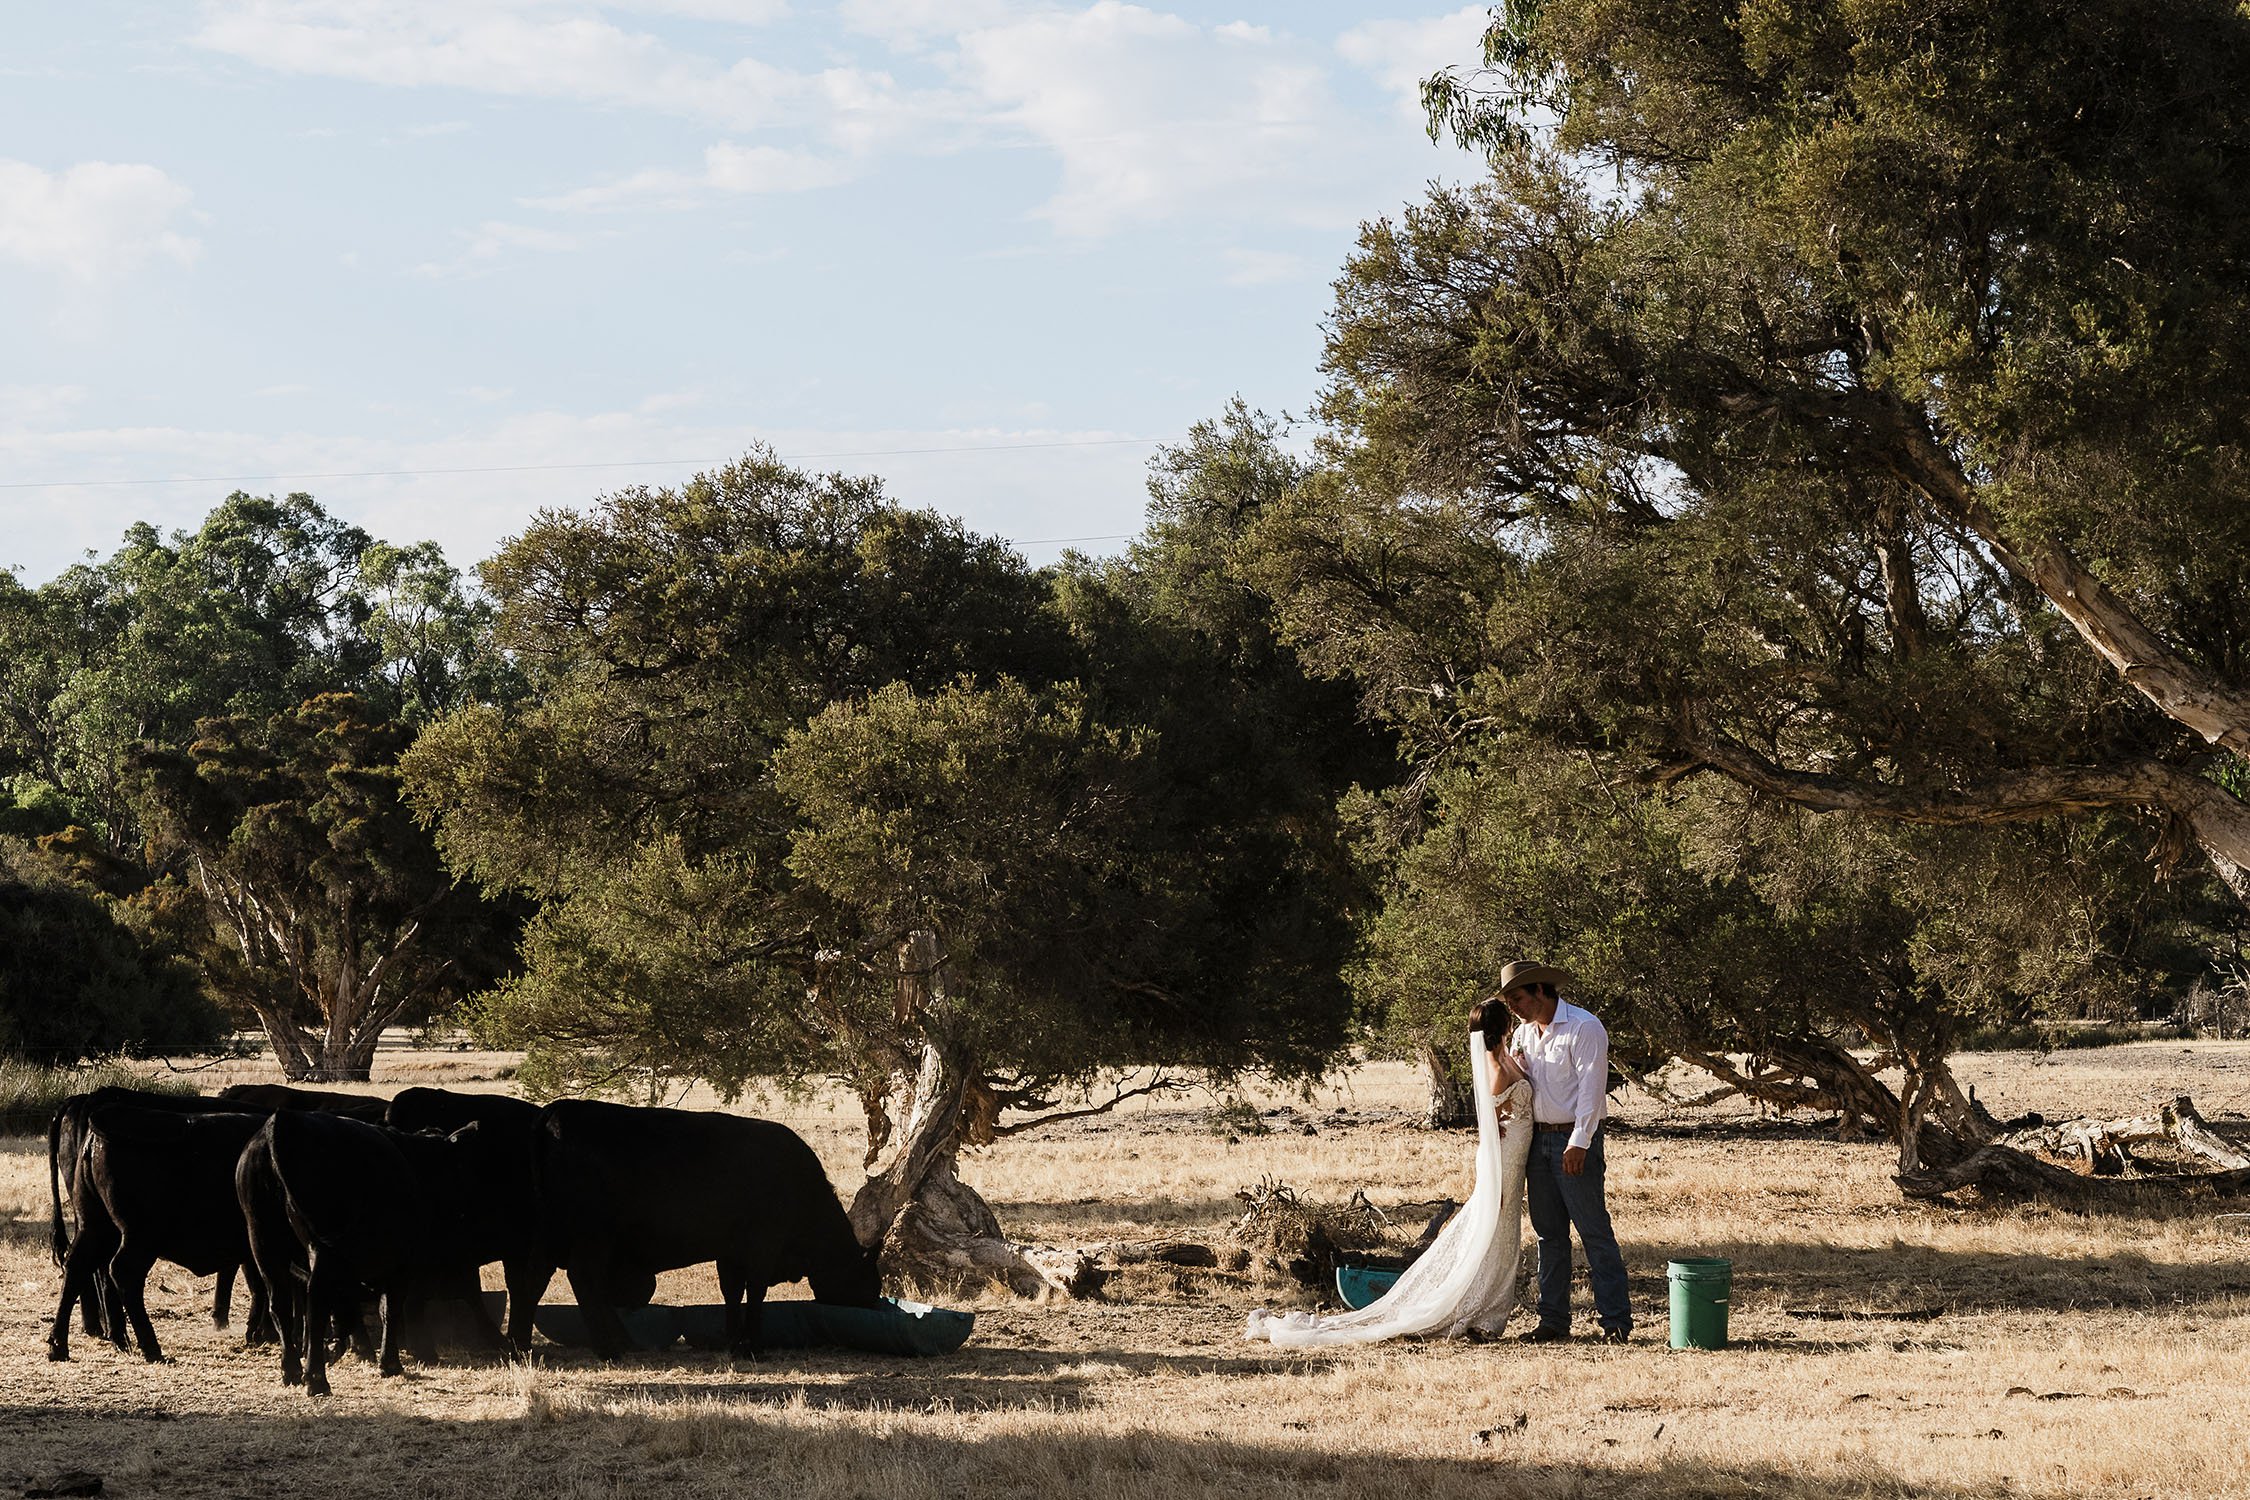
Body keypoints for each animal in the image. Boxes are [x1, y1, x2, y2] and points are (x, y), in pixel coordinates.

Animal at [48, 1101, 270, 1358]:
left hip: (94, 1225)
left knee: (76, 1267)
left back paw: (61, 1346)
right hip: (139, 1237)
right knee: (122, 1272)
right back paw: (150, 1347)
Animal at [241, 1110, 515, 1403]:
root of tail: (283, 1120)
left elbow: (352, 1309)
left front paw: (350, 1348)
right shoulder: (404, 1265)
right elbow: (392, 1309)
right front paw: (392, 1362)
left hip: (263, 1242)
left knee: (280, 1305)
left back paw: (292, 1370)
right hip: (321, 1250)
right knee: (316, 1305)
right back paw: (316, 1380)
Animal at [528, 1097, 877, 1367]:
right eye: (867, 1276)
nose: (874, 1302)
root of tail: (558, 1111)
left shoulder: (730, 1252)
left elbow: (732, 1292)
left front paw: (734, 1342)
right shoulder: (763, 1246)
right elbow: (756, 1292)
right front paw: (754, 1346)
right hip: (593, 1236)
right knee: (584, 1279)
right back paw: (609, 1349)